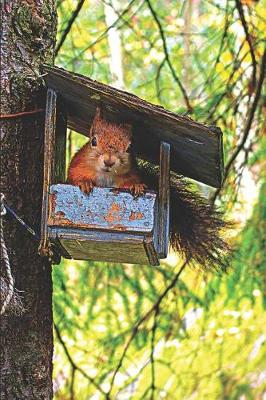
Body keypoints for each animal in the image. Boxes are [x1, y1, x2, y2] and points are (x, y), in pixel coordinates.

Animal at [66, 108, 229, 270]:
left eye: (129, 147)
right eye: (93, 141)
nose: (109, 161)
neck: (106, 175)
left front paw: (136, 186)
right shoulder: (76, 166)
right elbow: (74, 178)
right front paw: (85, 183)